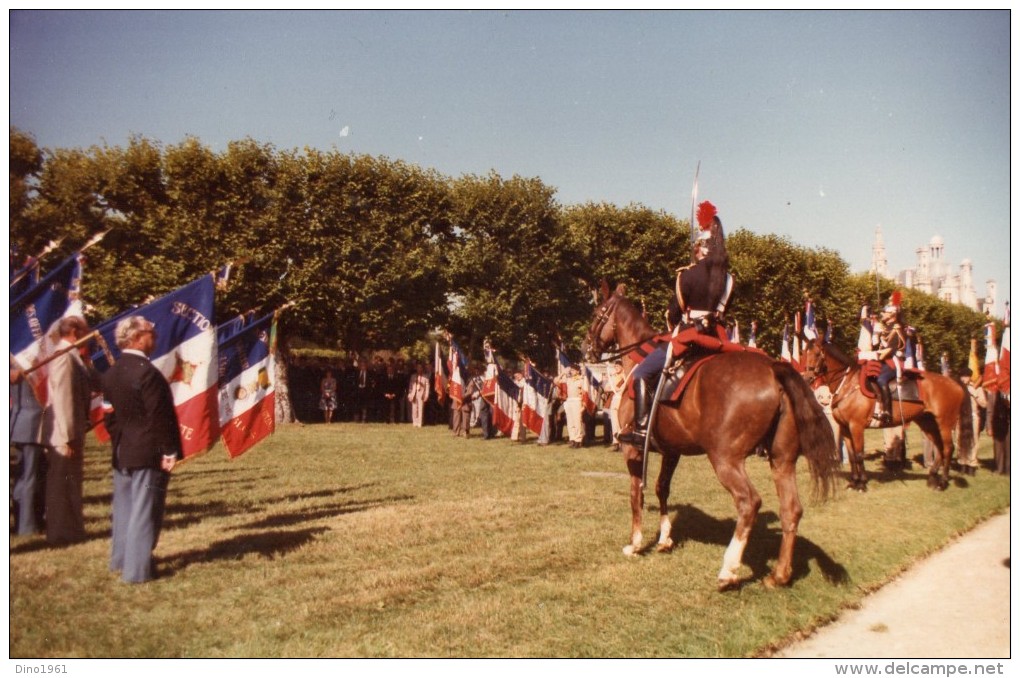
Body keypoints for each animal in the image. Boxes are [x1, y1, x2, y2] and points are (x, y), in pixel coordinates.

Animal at [583, 283, 836, 591]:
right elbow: (661, 488)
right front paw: (665, 538)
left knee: (749, 502)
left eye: (597, 313)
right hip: (782, 460)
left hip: (725, 459)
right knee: (791, 509)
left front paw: (636, 543)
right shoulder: (671, 451)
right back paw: (779, 575)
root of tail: (773, 369)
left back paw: (728, 570)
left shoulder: (634, 451)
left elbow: (636, 493)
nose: (586, 349)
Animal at [803, 340, 962, 489]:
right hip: (928, 423)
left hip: (945, 423)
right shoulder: (845, 428)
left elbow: (859, 455)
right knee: (939, 447)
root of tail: (955, 384)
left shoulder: (856, 426)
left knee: (948, 448)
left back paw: (943, 482)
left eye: (817, 354)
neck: (847, 383)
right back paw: (932, 477)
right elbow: (852, 456)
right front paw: (854, 482)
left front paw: (862, 483)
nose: (807, 378)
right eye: (804, 353)